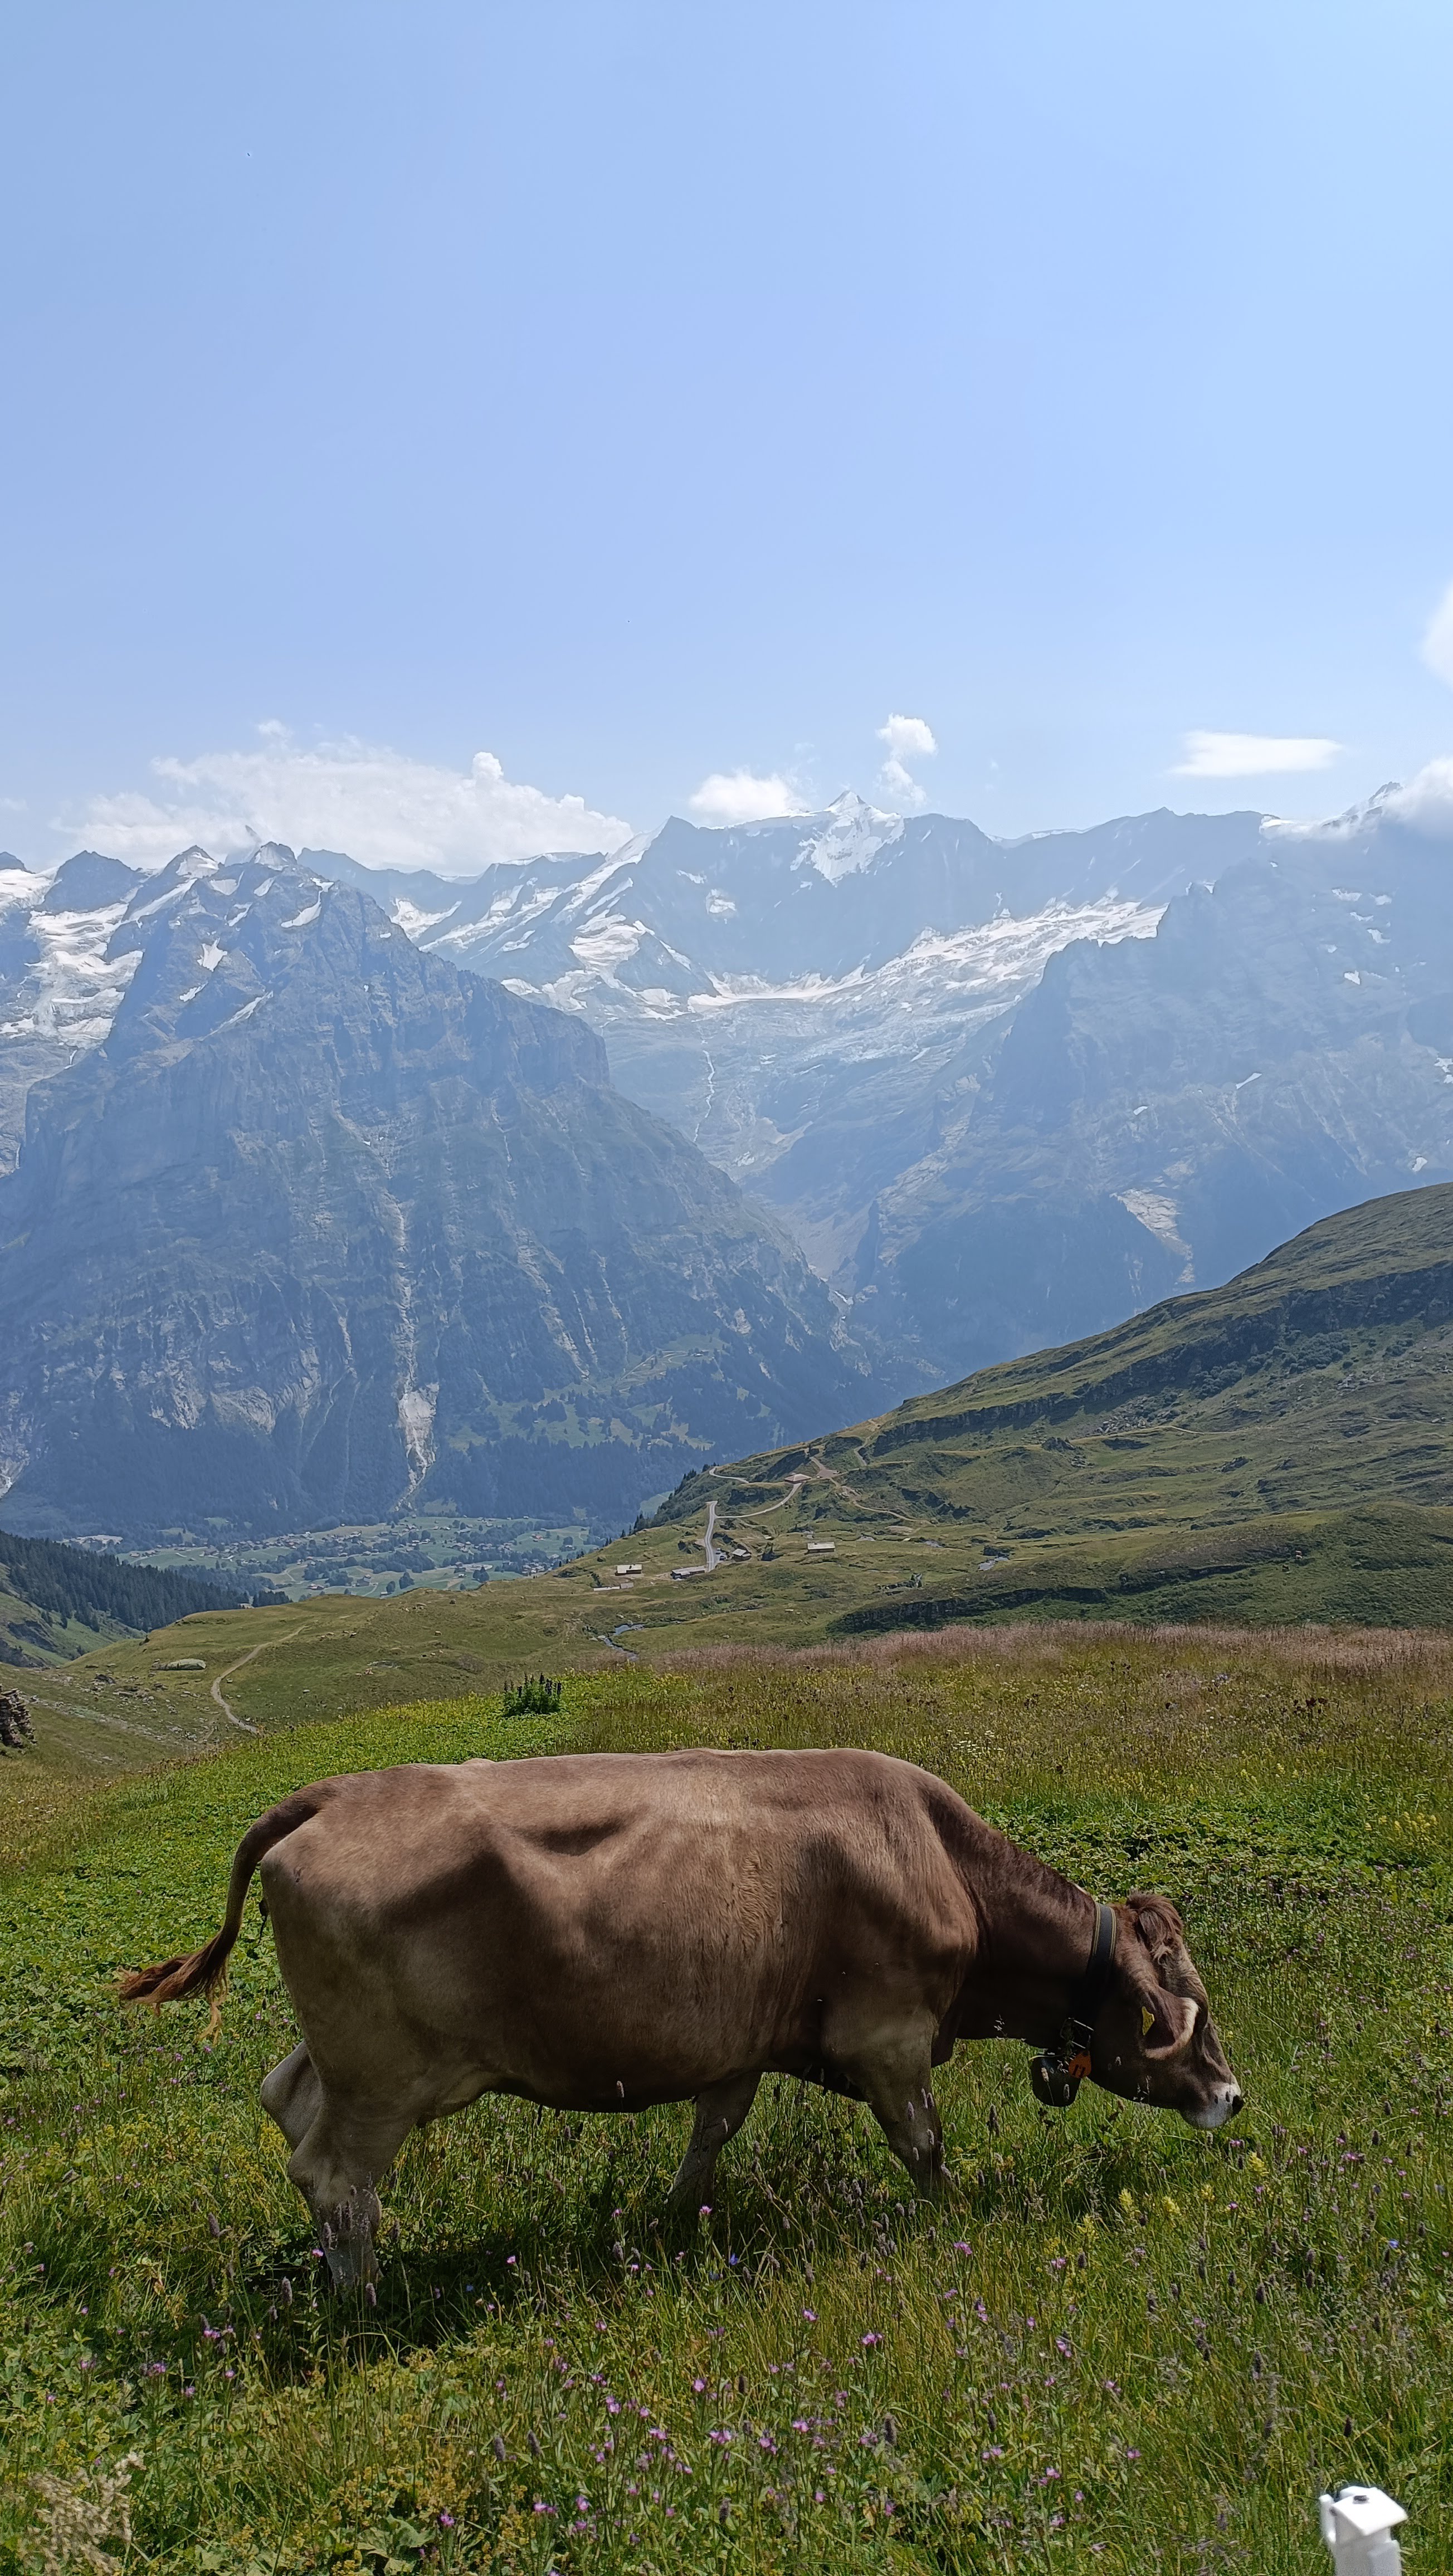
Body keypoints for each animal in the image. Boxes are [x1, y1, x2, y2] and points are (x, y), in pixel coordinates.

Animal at [120, 1748, 1241, 2284]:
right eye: (1181, 2007)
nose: (1231, 2095)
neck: (947, 1868)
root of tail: (330, 1794)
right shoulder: (886, 2036)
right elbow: (922, 2144)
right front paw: (949, 2222)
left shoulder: (739, 2039)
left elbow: (713, 2131)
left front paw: (671, 2221)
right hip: (384, 2076)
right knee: (335, 2177)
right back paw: (362, 2303)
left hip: (343, 2055)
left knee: (284, 2098)